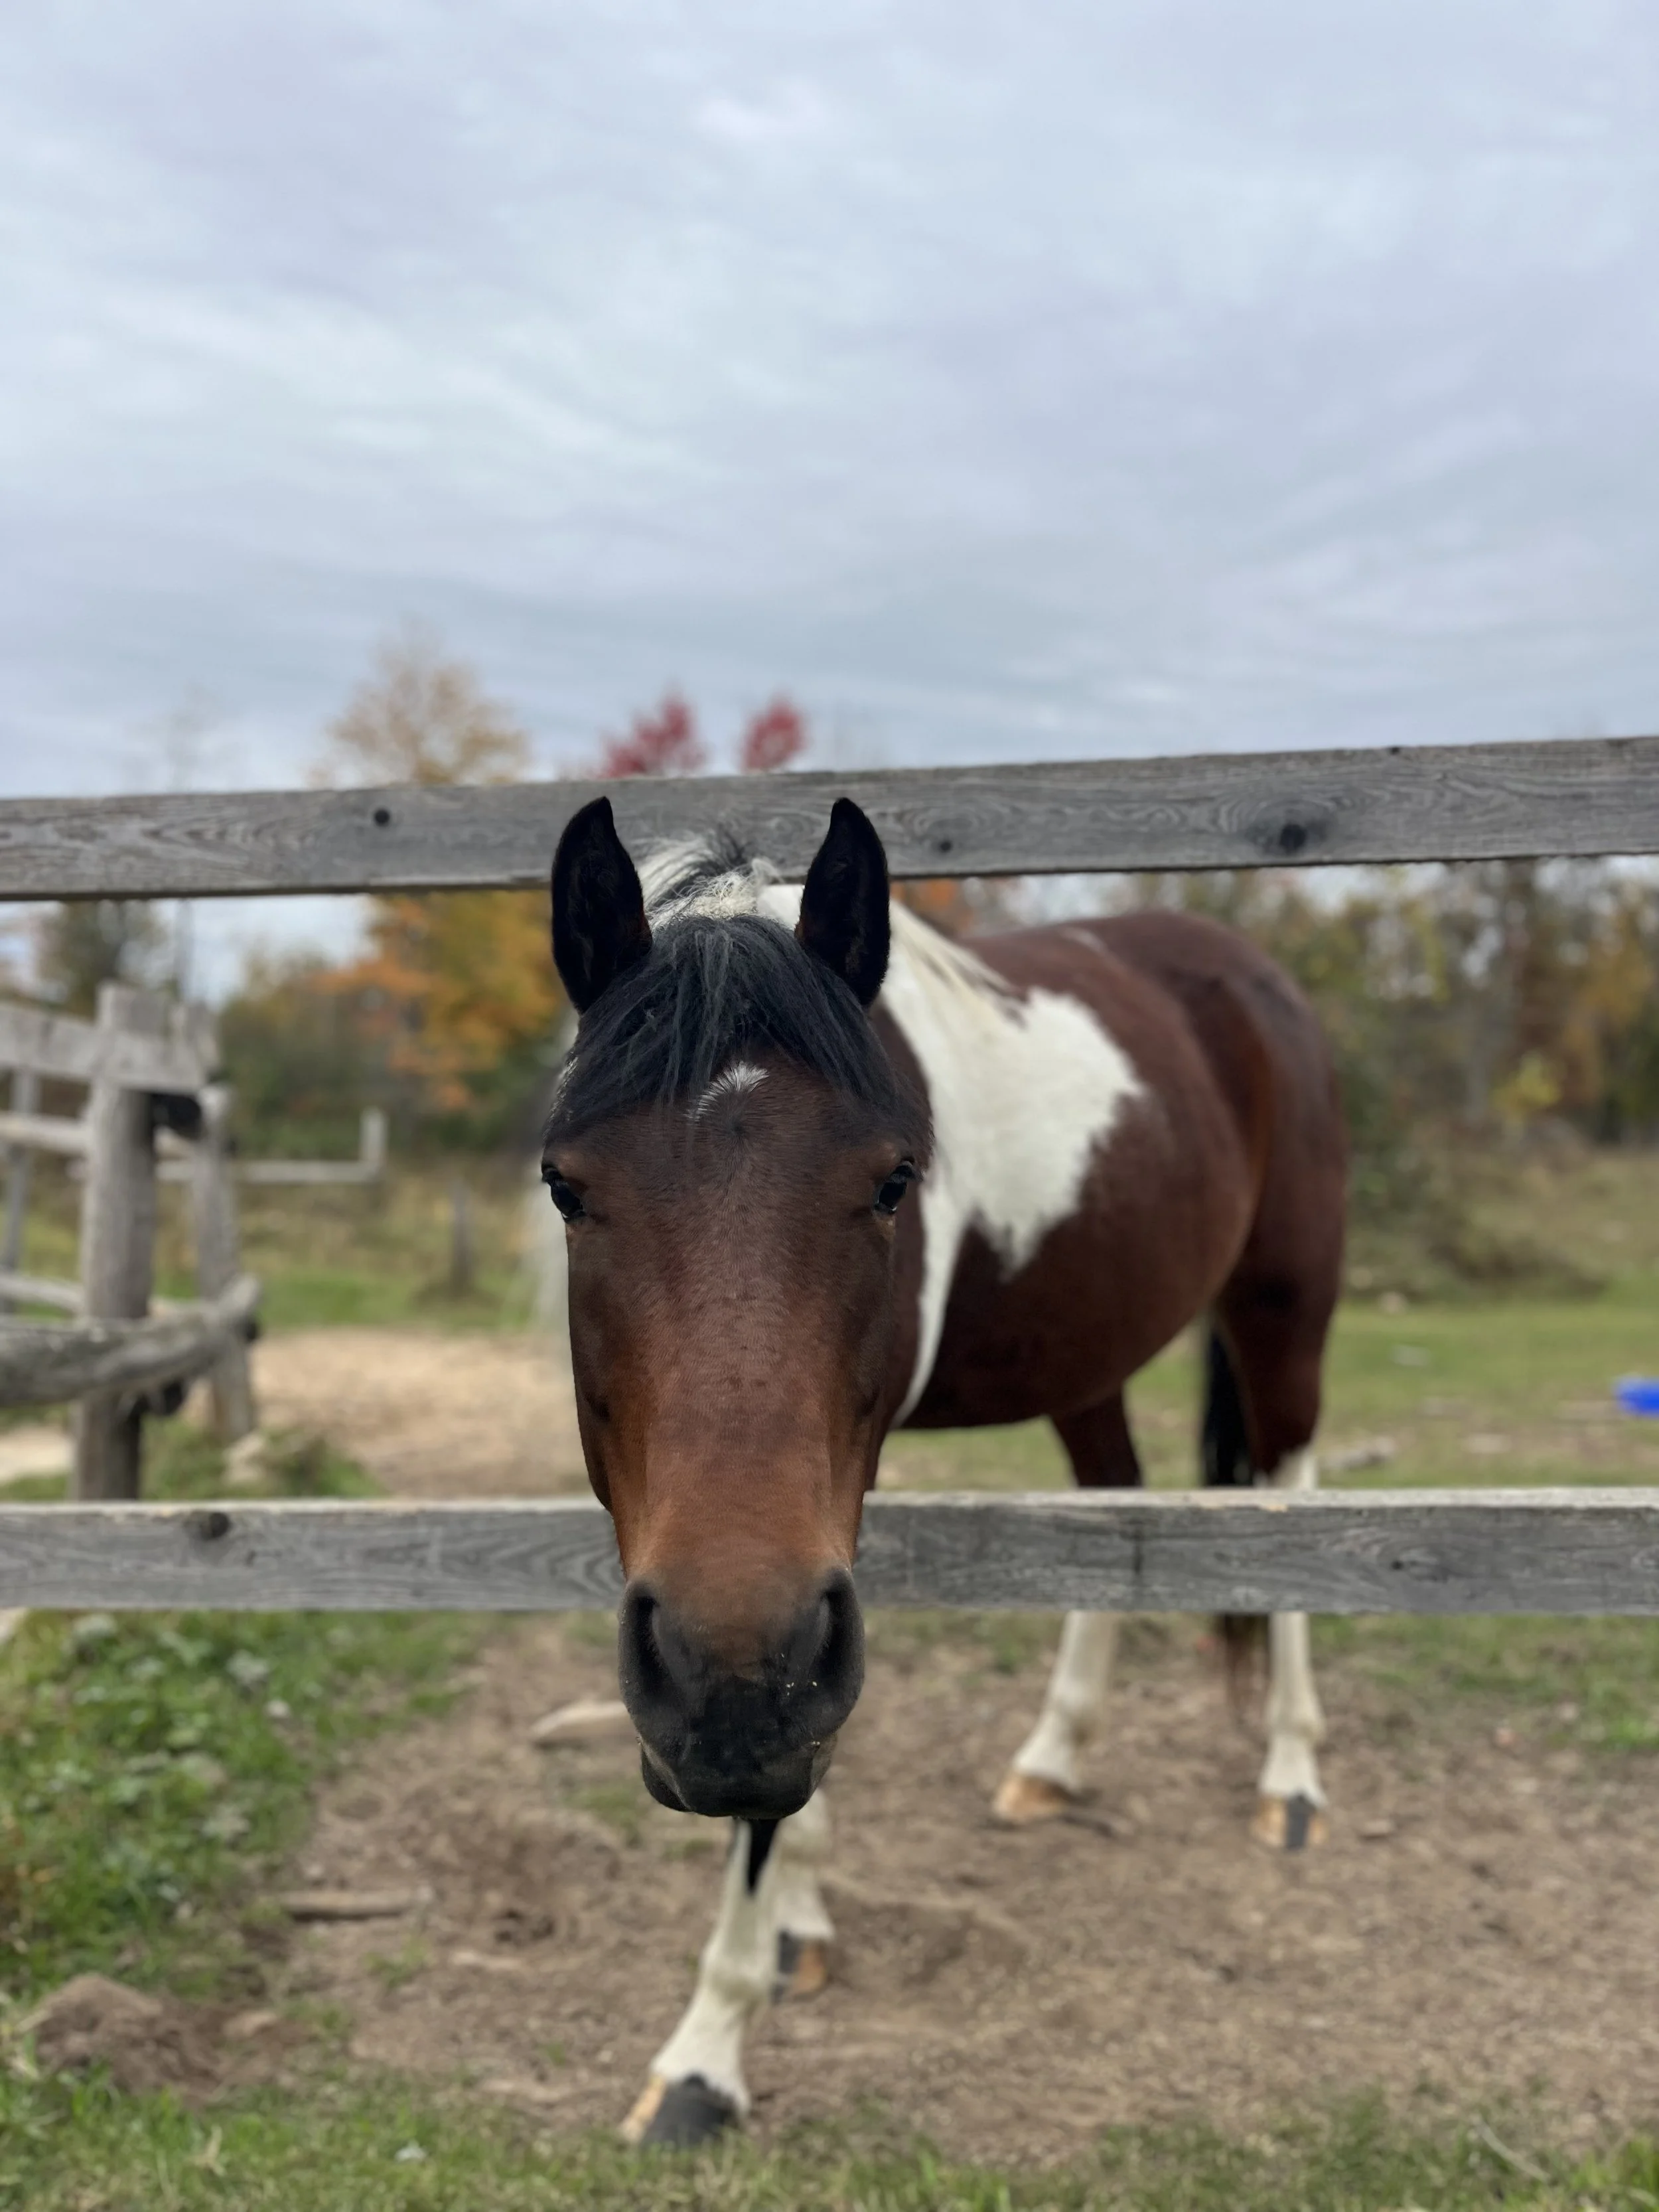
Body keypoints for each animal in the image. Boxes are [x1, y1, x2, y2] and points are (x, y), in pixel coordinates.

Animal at [540, 793, 1346, 2147]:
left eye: (893, 1181)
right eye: (565, 1185)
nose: (720, 1681)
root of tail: (1249, 970)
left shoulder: (796, 1581)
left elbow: (773, 1785)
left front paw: (707, 2053)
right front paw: (802, 1924)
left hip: (1282, 1315)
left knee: (1293, 1502)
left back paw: (1291, 1777)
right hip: (1090, 1361)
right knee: (1114, 1500)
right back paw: (1052, 1760)